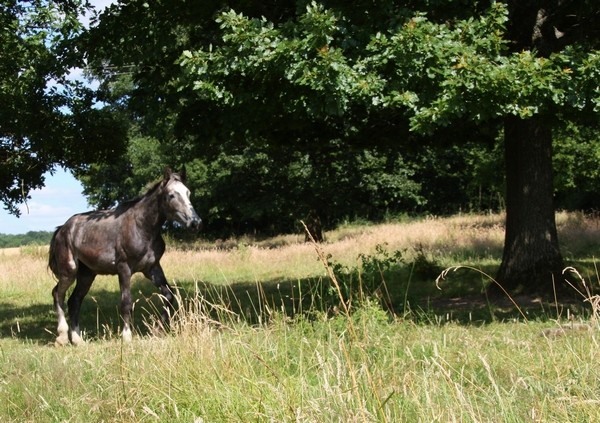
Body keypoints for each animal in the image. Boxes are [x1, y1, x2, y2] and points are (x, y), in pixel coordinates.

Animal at [47, 167, 202, 346]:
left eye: (188, 193)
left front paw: (157, 329)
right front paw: (127, 337)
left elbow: (169, 295)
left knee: (74, 301)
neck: (142, 227)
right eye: (171, 195)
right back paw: (62, 337)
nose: (195, 222)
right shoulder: (124, 269)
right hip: (69, 271)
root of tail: (62, 228)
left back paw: (78, 340)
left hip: (87, 275)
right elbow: (126, 302)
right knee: (58, 294)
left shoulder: (152, 268)